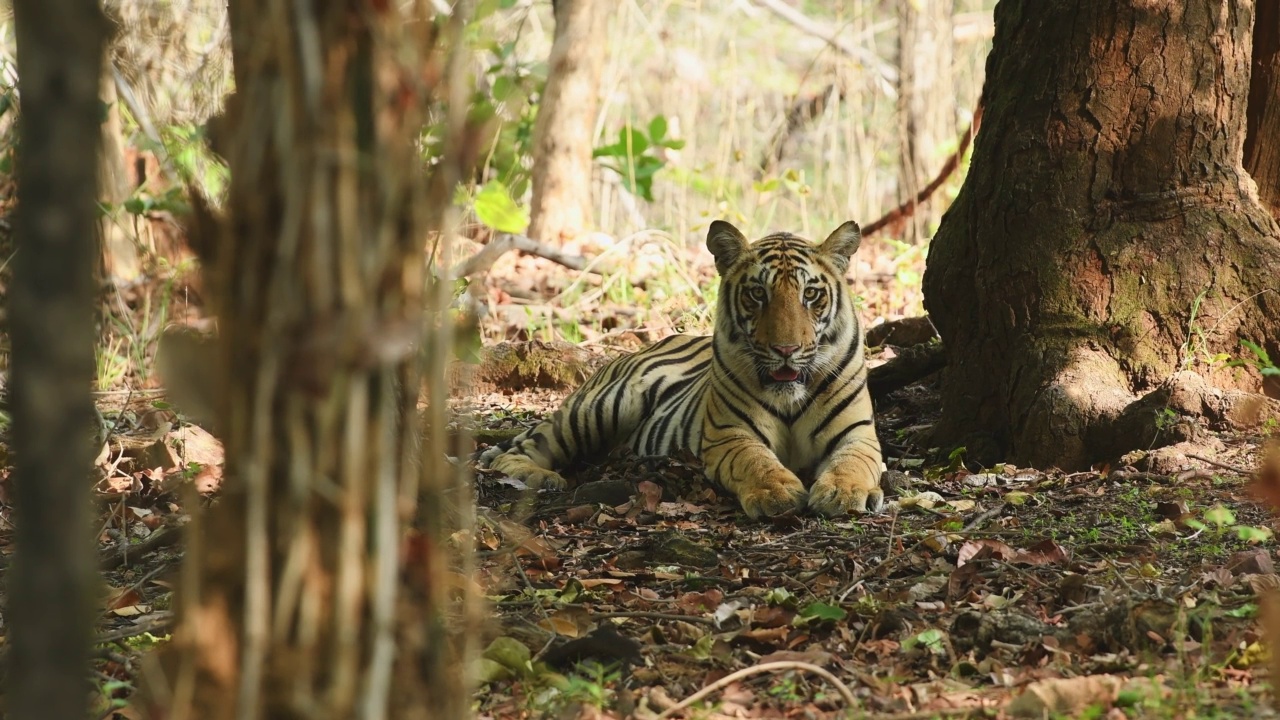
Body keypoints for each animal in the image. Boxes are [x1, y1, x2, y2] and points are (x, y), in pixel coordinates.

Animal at [476, 219, 885, 515]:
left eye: (810, 294)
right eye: (757, 293)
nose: (786, 349)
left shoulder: (858, 433)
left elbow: (852, 463)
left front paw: (844, 493)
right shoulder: (731, 435)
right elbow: (756, 462)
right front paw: (778, 492)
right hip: (597, 409)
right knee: (519, 449)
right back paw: (541, 477)